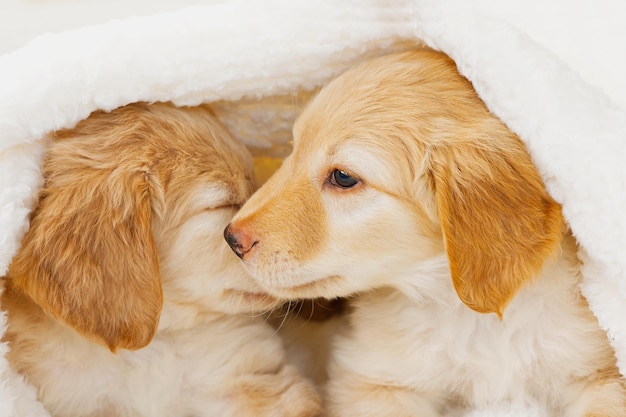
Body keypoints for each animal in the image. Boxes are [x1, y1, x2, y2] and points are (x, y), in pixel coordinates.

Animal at [224, 49, 624, 416]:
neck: (462, 313)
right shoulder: (378, 381)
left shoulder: (601, 373)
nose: (231, 237)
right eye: (292, 150)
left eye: (343, 177)